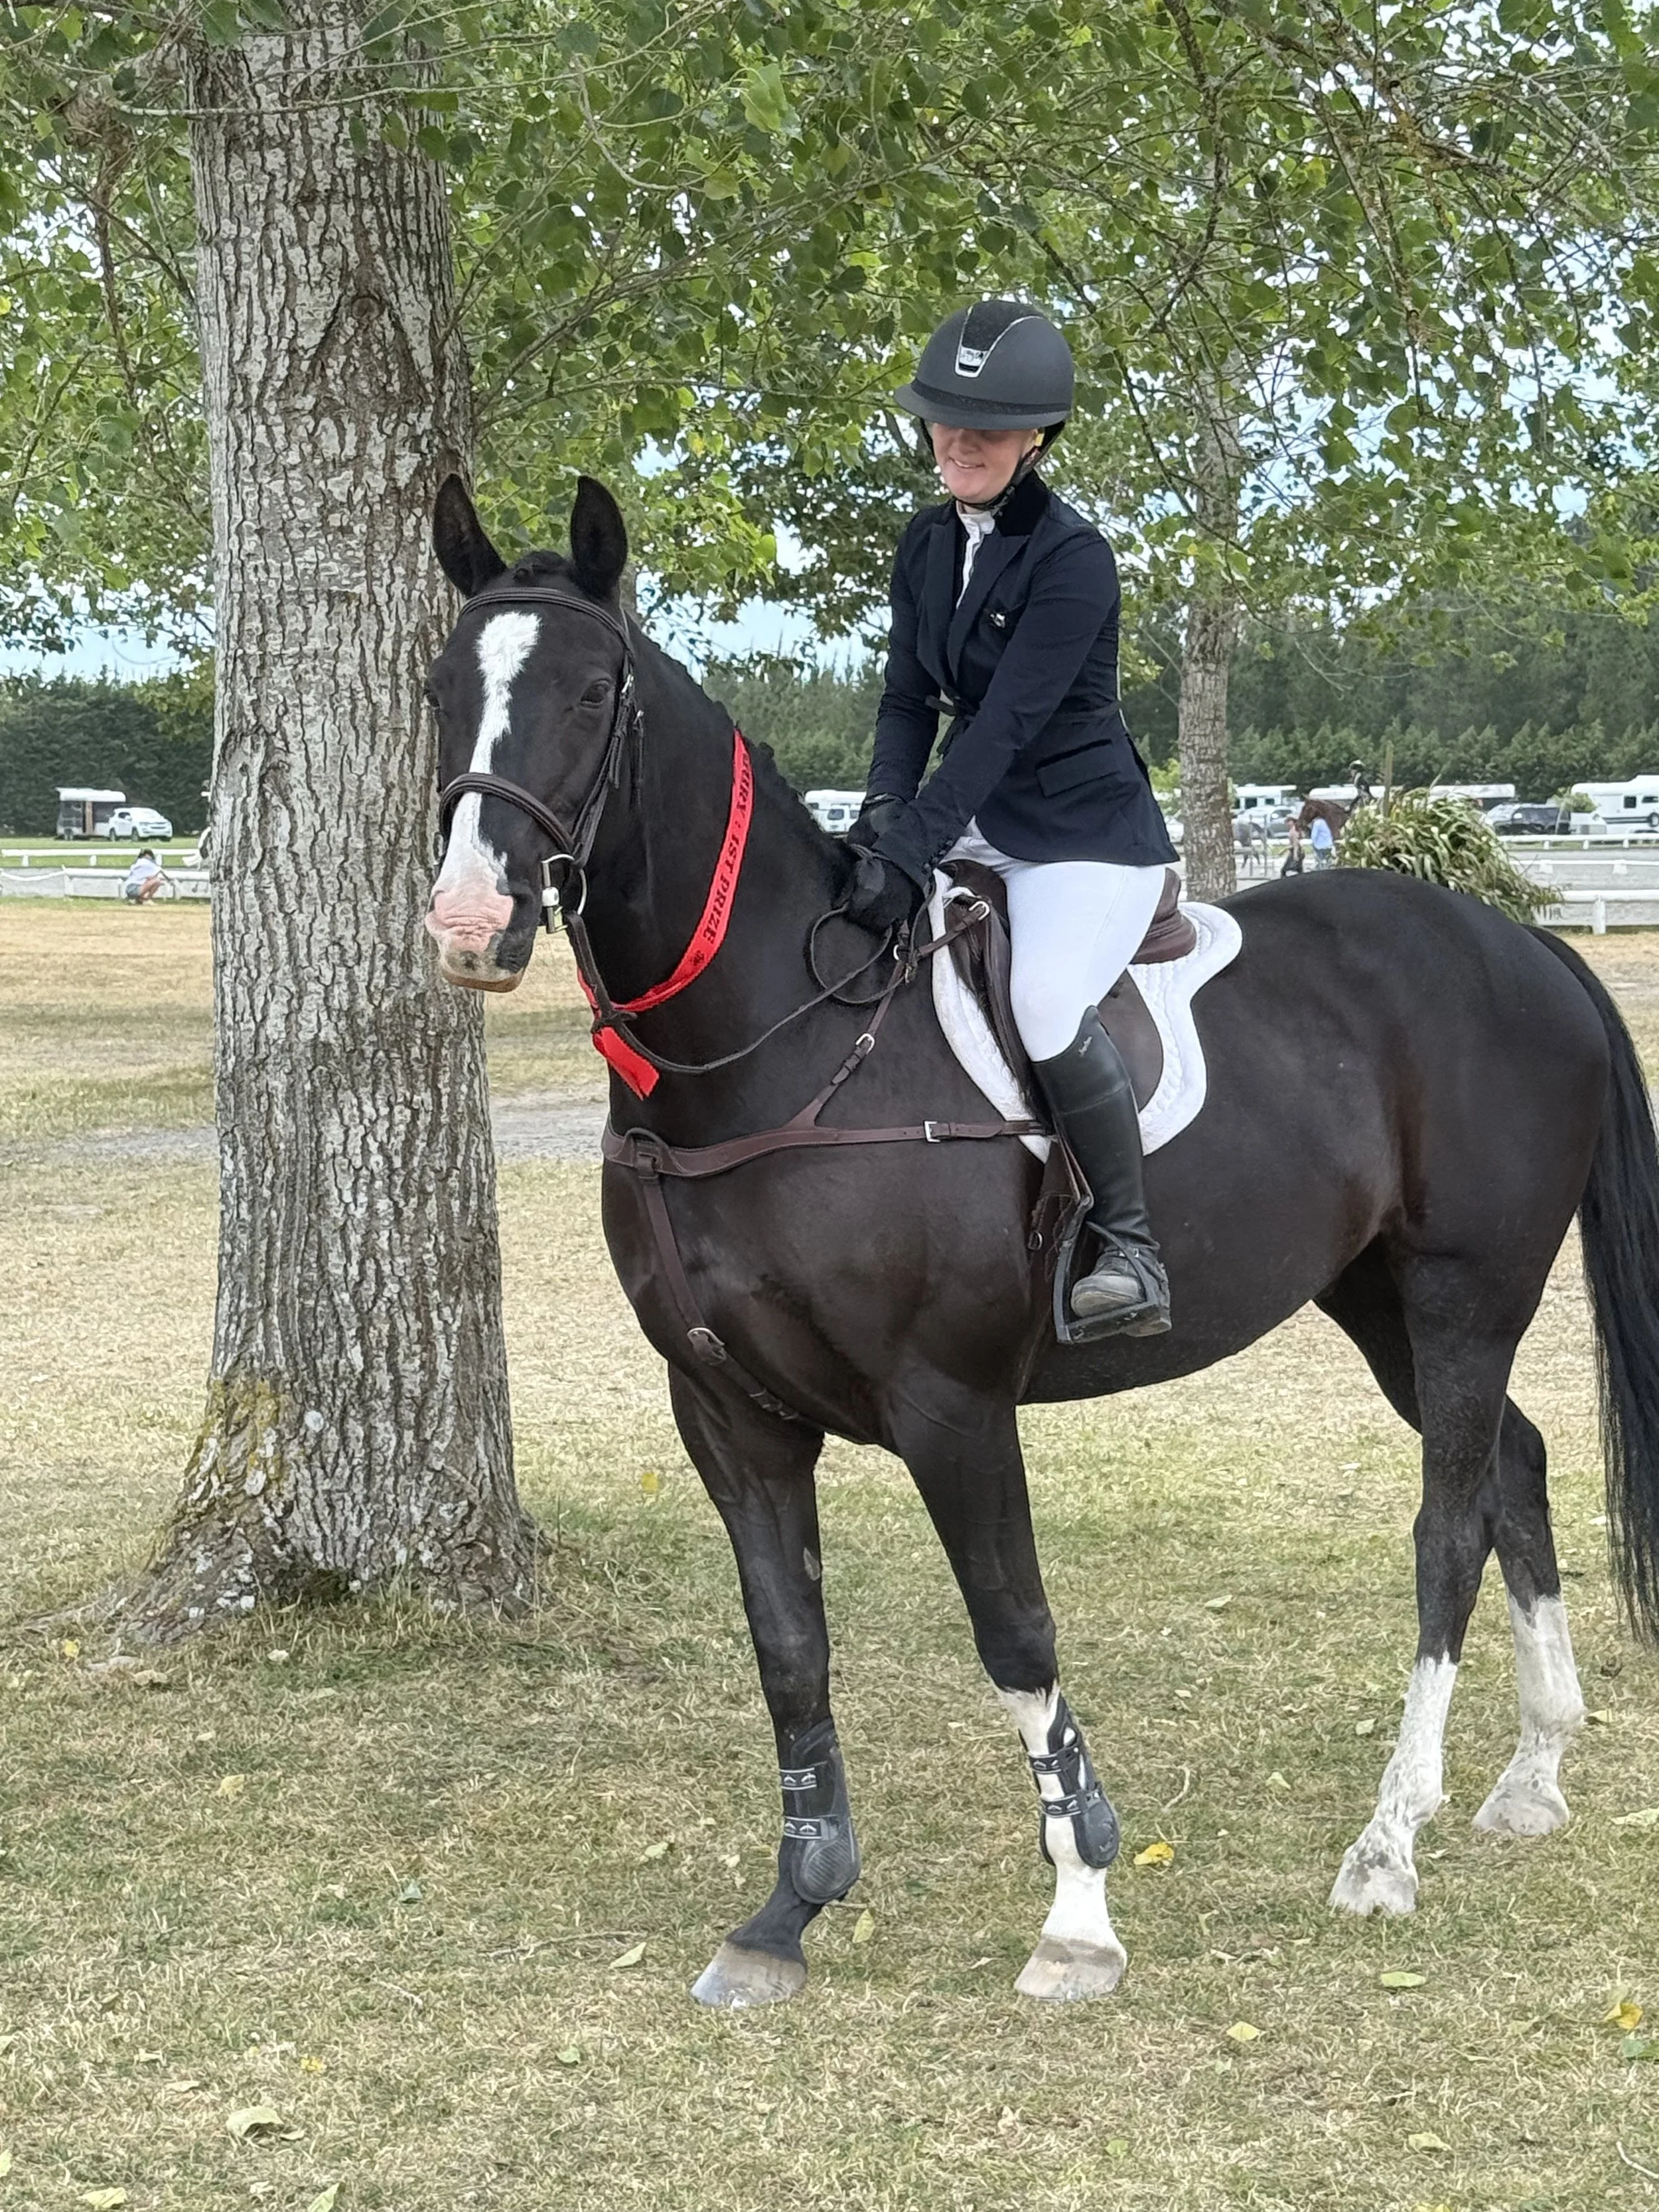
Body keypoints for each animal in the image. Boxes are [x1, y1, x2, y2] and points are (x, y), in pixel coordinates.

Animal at [423, 474, 1659, 2008]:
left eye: (593, 692)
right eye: (439, 685)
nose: (469, 924)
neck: (776, 1048)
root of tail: (1518, 943)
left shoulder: (950, 1405)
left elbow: (1015, 1636)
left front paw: (1079, 1911)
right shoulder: (726, 1409)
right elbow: (789, 1647)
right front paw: (789, 1907)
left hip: (1462, 1294)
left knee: (1448, 1522)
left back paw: (1386, 1843)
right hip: (1376, 1299)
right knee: (1515, 1473)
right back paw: (1530, 1774)